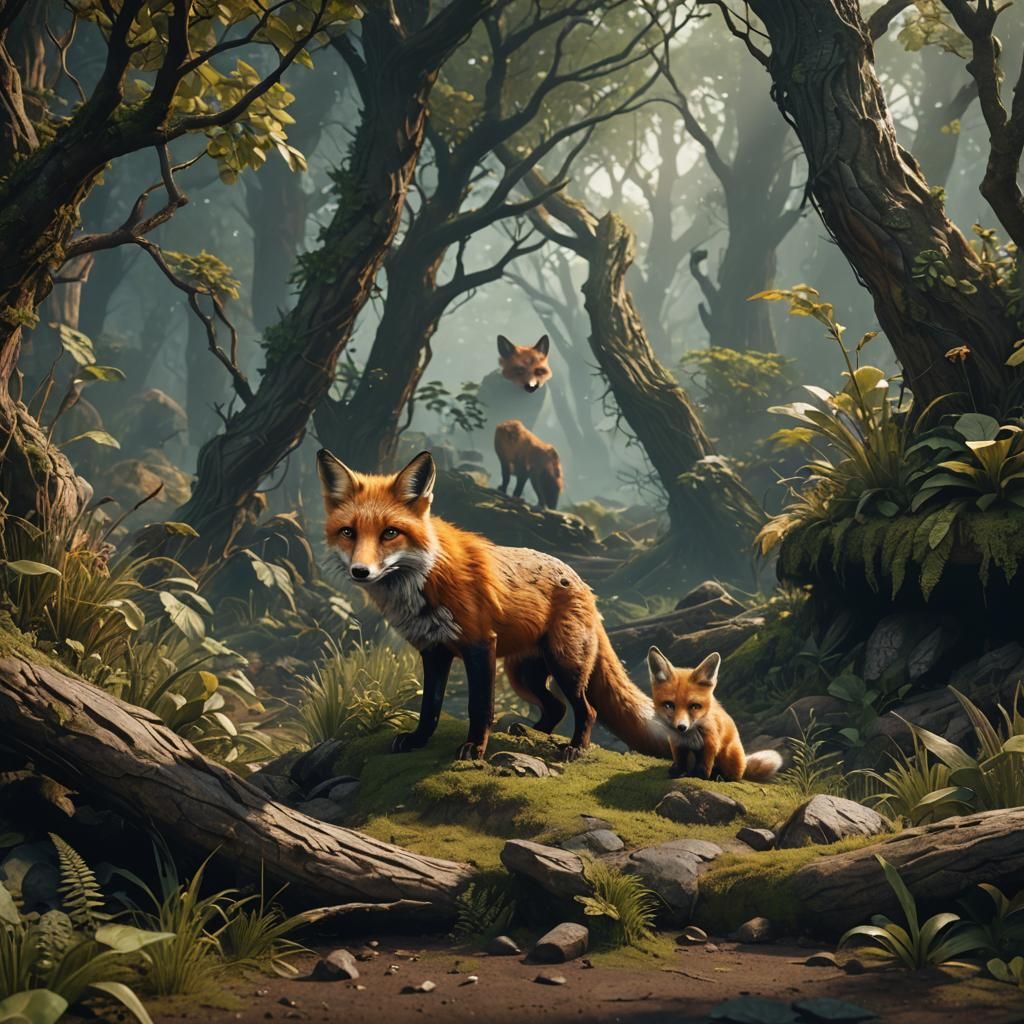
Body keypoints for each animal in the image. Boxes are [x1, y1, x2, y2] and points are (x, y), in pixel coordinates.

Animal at [317, 448, 684, 763]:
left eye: (390, 533)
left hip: (564, 664)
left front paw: (474, 749)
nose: (360, 571)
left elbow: (480, 707)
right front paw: (419, 740)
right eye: (348, 532)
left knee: (586, 710)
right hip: (523, 675)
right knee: (556, 708)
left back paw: (574, 748)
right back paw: (528, 734)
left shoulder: (480, 646)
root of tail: (583, 585)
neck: (425, 581)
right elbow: (430, 707)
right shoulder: (434, 650)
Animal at [647, 646, 783, 782]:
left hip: (729, 754)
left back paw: (718, 775)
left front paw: (700, 776)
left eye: (695, 706)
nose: (681, 727)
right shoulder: (676, 741)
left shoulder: (711, 740)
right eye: (669, 705)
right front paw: (678, 771)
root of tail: (744, 765)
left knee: (733, 775)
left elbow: (704, 763)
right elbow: (680, 759)